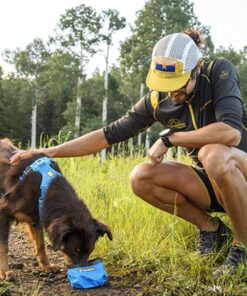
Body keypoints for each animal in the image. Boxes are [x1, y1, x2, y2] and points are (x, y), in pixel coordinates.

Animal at [0, 139, 112, 280]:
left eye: (90, 250)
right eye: (75, 250)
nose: (83, 273)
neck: (44, 187)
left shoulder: (37, 218)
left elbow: (41, 245)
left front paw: (46, 266)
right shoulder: (3, 213)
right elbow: (4, 247)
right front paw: (5, 271)